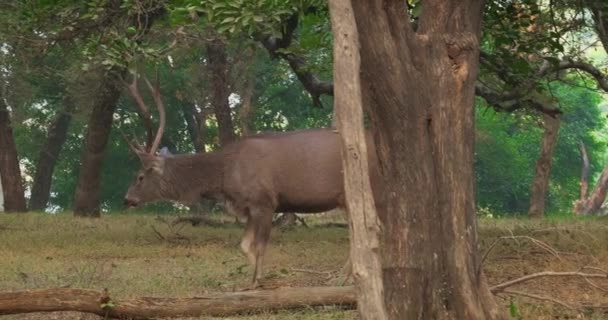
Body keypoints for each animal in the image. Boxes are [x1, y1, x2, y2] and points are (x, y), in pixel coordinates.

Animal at [121, 73, 382, 288]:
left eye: (140, 177)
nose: (127, 199)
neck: (225, 175)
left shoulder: (264, 201)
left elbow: (259, 246)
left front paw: (258, 281)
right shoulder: (248, 208)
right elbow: (245, 245)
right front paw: (253, 279)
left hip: (360, 189)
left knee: (368, 231)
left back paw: (344, 277)